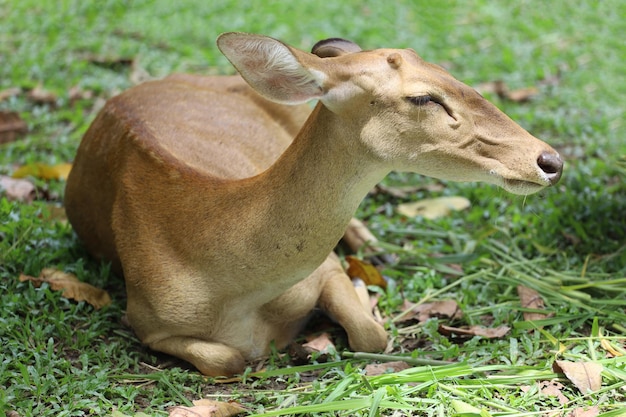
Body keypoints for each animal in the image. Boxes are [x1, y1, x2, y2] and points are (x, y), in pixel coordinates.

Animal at [63, 33, 560, 376]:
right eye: (424, 97)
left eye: (456, 77)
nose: (550, 160)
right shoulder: (146, 319)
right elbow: (228, 359)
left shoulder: (324, 269)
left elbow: (372, 335)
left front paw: (362, 296)